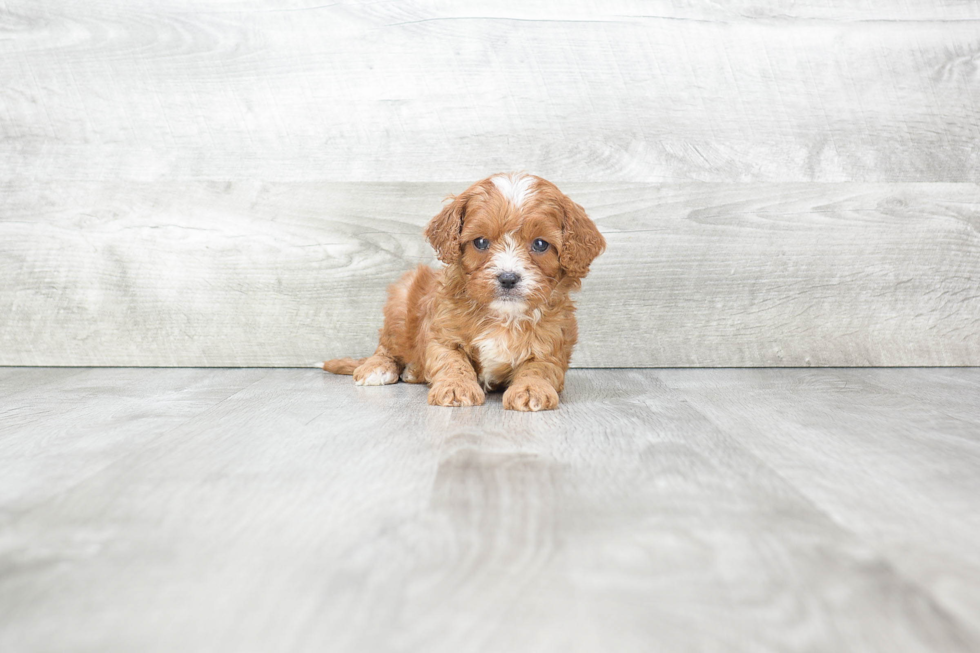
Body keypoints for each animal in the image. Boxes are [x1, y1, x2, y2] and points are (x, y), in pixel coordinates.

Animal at [324, 171, 604, 410]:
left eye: (540, 244)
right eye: (480, 242)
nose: (508, 278)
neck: (503, 315)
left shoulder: (553, 344)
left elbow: (539, 368)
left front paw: (530, 389)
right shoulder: (442, 334)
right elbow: (452, 361)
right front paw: (456, 387)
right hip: (400, 303)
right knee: (387, 346)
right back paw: (379, 367)